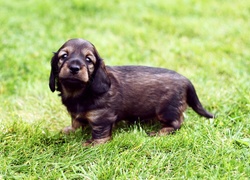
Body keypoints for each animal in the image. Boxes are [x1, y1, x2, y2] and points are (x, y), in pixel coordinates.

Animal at [49, 38, 215, 146]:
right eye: (64, 56)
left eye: (88, 59)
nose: (74, 68)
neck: (79, 92)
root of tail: (186, 80)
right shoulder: (77, 114)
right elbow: (75, 121)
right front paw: (70, 130)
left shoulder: (102, 117)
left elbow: (99, 133)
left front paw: (92, 144)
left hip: (167, 110)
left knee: (177, 123)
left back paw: (160, 132)